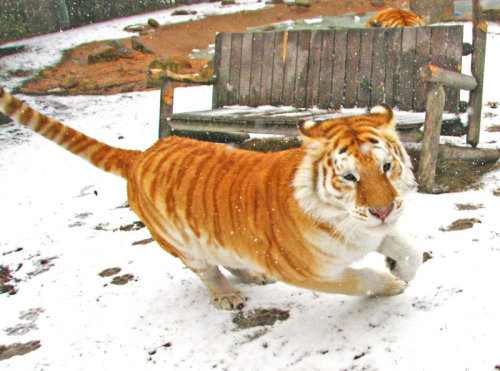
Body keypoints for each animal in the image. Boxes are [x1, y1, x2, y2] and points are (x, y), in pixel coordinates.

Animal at [0, 88, 422, 312]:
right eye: (350, 177)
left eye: (386, 166)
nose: (384, 209)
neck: (344, 218)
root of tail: (140, 154)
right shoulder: (307, 270)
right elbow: (357, 279)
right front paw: (389, 284)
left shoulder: (371, 230)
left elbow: (412, 251)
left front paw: (398, 267)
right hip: (183, 244)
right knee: (207, 271)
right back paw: (227, 296)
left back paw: (252, 274)